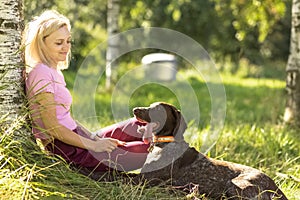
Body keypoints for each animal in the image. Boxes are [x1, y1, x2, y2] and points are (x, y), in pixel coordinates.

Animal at [133, 102, 286, 200]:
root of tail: (276, 188)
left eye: (158, 110)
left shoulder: (146, 179)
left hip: (235, 186)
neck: (165, 144)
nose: (135, 109)